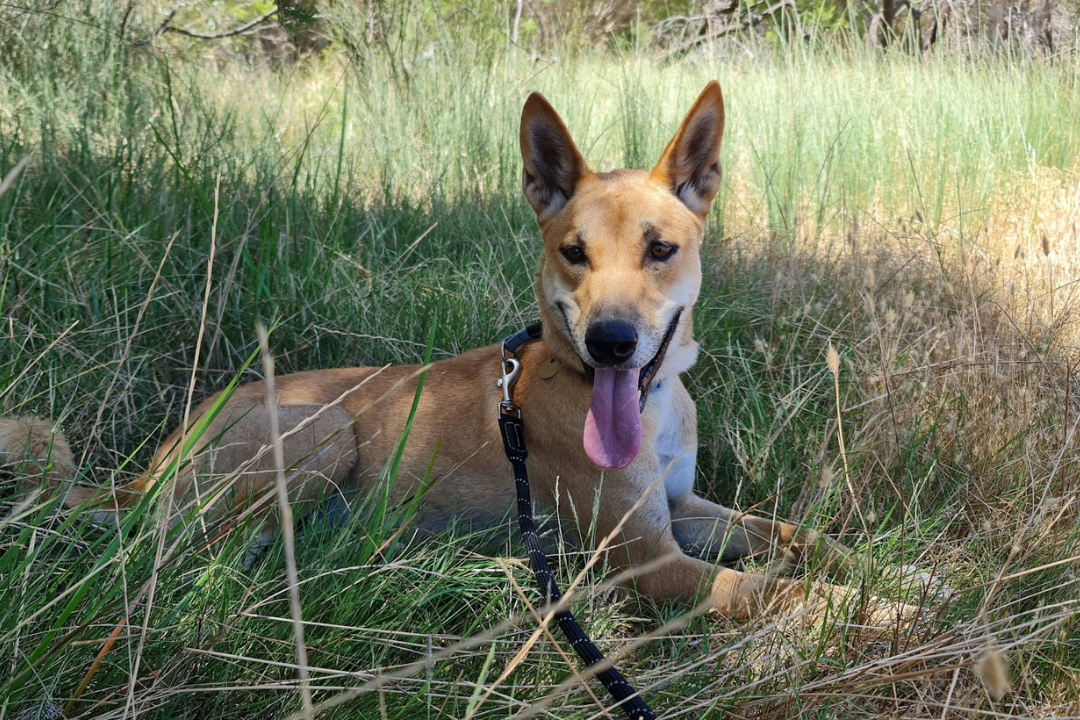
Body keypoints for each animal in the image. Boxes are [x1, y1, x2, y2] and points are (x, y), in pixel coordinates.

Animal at [2, 81, 876, 621]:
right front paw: (893, 614)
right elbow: (791, 595)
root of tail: (148, 469)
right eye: (574, 252)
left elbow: (804, 539)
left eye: (660, 249)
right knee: (208, 563)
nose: (611, 343)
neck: (649, 409)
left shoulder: (685, 509)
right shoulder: (649, 562)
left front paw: (893, 570)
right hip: (320, 430)